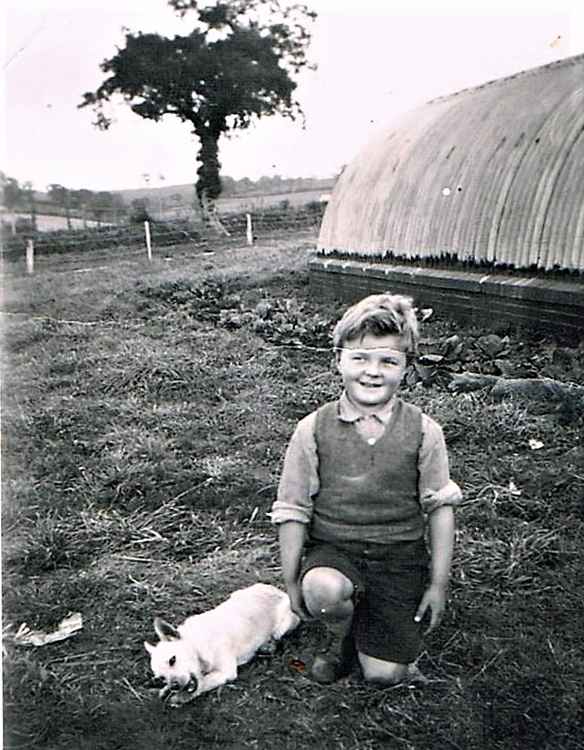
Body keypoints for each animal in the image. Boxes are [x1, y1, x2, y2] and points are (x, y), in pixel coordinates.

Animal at [145, 584, 302, 708]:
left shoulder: (225, 672)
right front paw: (166, 689)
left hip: (282, 627)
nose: (174, 685)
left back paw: (268, 646)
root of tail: (278, 590)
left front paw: (180, 697)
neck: (197, 643)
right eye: (161, 678)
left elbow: (204, 682)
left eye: (172, 660)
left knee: (277, 638)